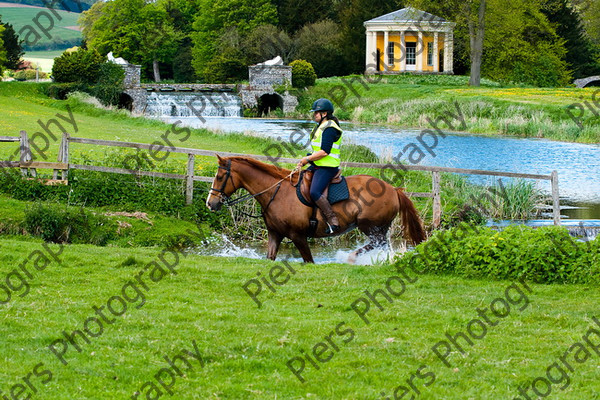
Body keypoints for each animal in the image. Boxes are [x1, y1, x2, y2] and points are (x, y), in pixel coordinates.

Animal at [206, 155, 426, 262]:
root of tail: (393, 189)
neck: (276, 192)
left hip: (370, 226)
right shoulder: (275, 234)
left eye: (219, 176)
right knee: (381, 246)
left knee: (378, 244)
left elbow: (308, 260)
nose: (210, 203)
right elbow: (270, 257)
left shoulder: (298, 236)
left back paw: (351, 258)